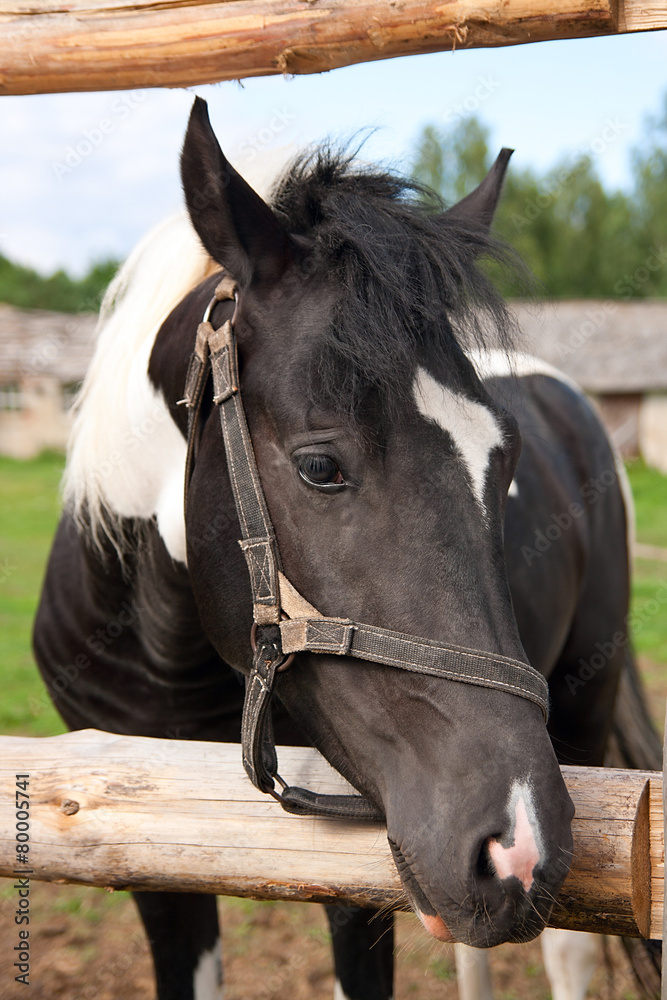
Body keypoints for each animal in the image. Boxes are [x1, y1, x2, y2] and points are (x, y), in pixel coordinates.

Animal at [33, 96, 659, 1000]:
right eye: (319, 466)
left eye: (502, 461)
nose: (515, 844)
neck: (166, 650)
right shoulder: (139, 845)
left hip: (583, 707)